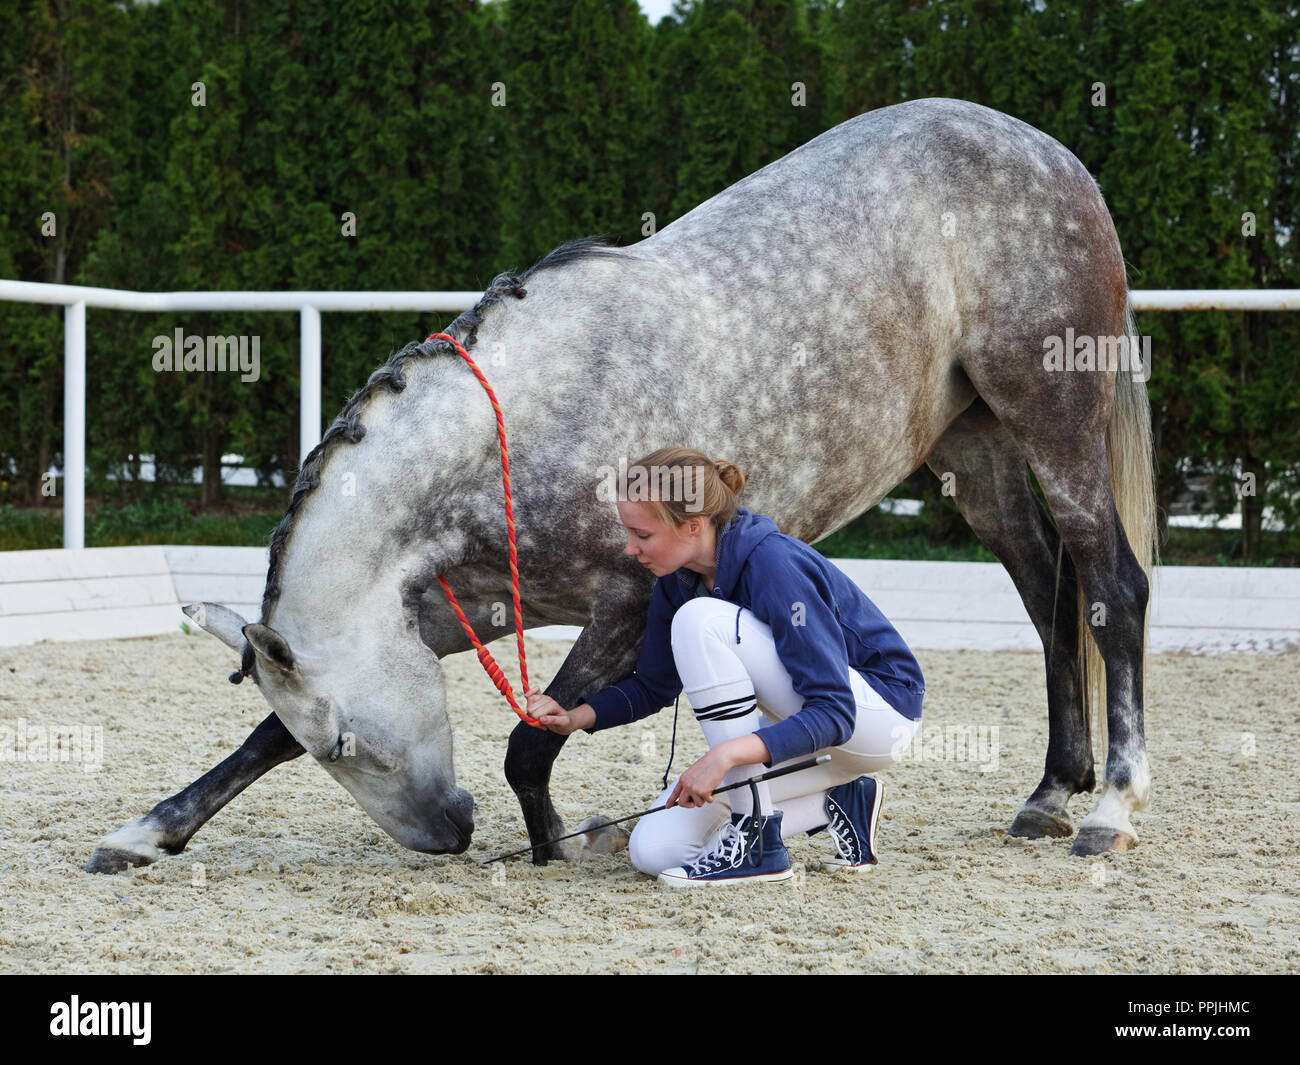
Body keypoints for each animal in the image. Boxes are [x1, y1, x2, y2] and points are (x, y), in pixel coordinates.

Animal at [83, 98, 1159, 873]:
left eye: (347, 743)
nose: (448, 834)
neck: (516, 434)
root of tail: (1054, 157)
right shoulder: (444, 610)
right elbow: (261, 737)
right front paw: (148, 832)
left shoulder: (625, 607)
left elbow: (527, 745)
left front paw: (553, 840)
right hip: (974, 446)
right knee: (1045, 587)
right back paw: (1049, 792)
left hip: (1053, 419)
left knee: (1112, 587)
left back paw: (1109, 803)